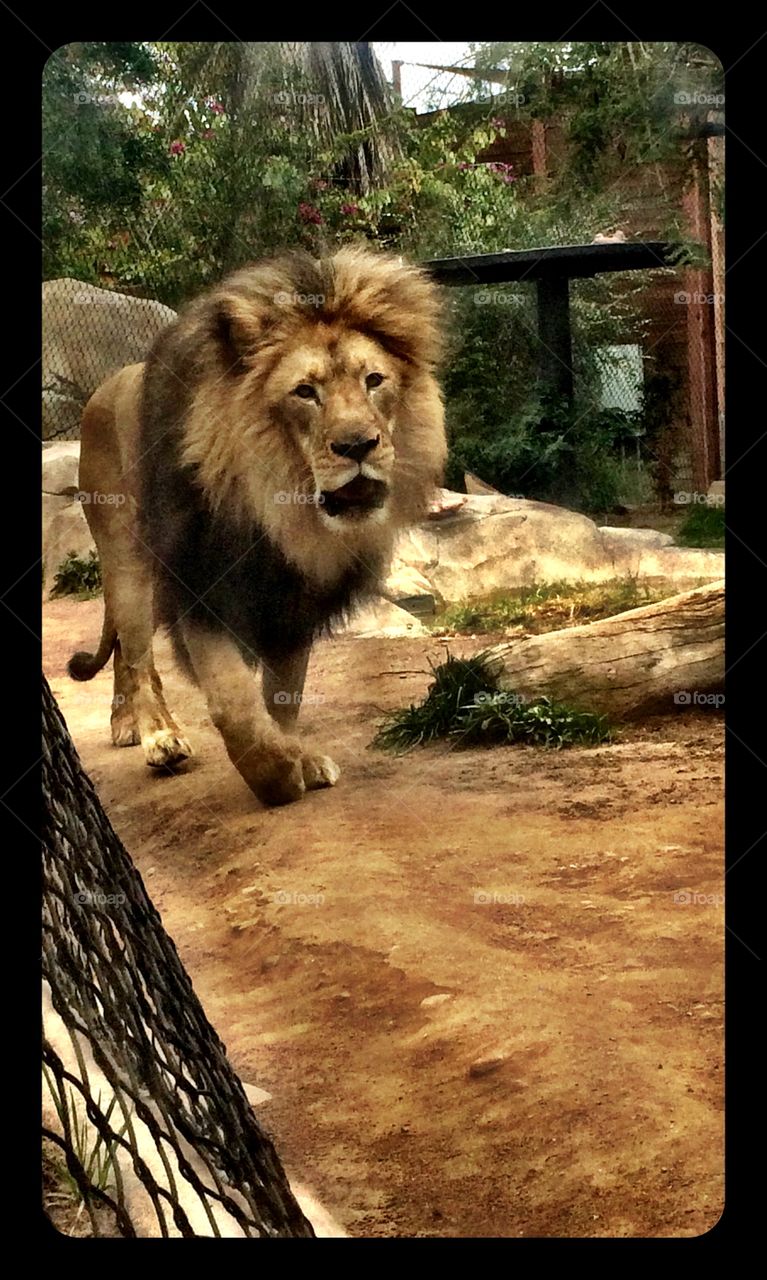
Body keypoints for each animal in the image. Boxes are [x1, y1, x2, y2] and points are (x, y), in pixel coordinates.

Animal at [69, 246, 446, 805]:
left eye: (374, 381)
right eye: (305, 392)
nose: (358, 446)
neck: (281, 512)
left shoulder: (296, 600)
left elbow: (284, 695)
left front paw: (297, 754)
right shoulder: (199, 583)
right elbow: (233, 700)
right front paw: (275, 773)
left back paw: (125, 725)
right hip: (127, 559)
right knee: (136, 655)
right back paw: (159, 737)